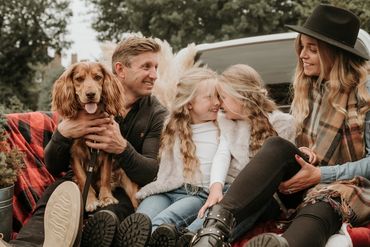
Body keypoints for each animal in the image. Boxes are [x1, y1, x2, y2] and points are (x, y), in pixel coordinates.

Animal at [52, 60, 139, 211]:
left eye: (98, 77)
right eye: (79, 79)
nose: (90, 94)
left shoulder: (106, 150)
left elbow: (105, 176)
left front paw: (106, 198)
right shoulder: (74, 154)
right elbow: (82, 178)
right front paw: (90, 200)